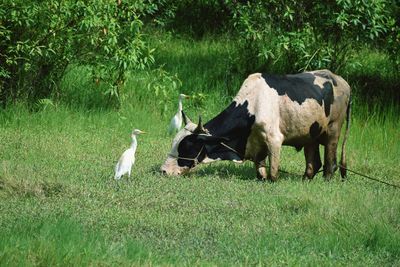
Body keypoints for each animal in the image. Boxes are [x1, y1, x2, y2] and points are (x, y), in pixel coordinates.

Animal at [159, 69, 350, 182]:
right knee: (313, 163)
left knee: (330, 163)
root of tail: (341, 80)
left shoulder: (274, 139)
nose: (163, 171)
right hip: (311, 134)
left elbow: (273, 173)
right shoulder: (257, 144)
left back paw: (327, 179)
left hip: (333, 130)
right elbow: (261, 171)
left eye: (186, 147)